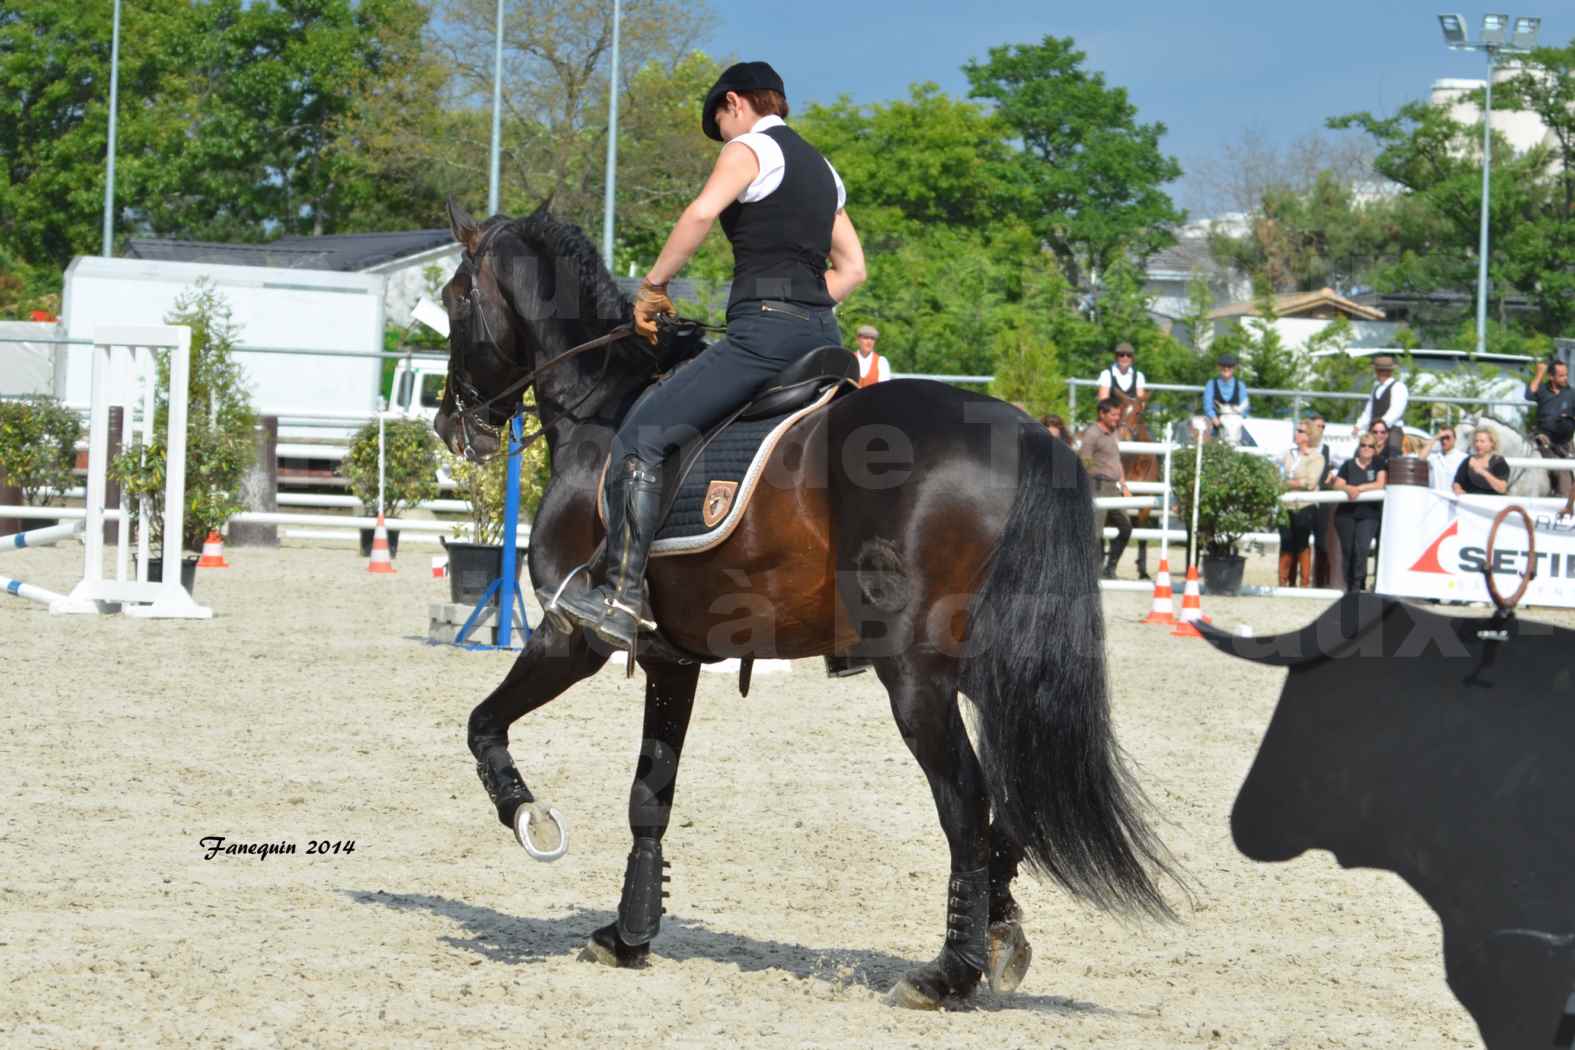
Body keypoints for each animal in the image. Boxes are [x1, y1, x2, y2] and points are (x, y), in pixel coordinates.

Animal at [437, 199, 1178, 1007]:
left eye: (452, 298)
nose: (453, 426)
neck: (604, 410)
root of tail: (1022, 434)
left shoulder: (576, 634)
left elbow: (483, 723)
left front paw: (525, 814)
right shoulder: (671, 659)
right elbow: (649, 797)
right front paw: (628, 934)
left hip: (915, 679)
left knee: (966, 805)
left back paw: (948, 972)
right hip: (992, 667)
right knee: (1012, 799)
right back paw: (996, 937)